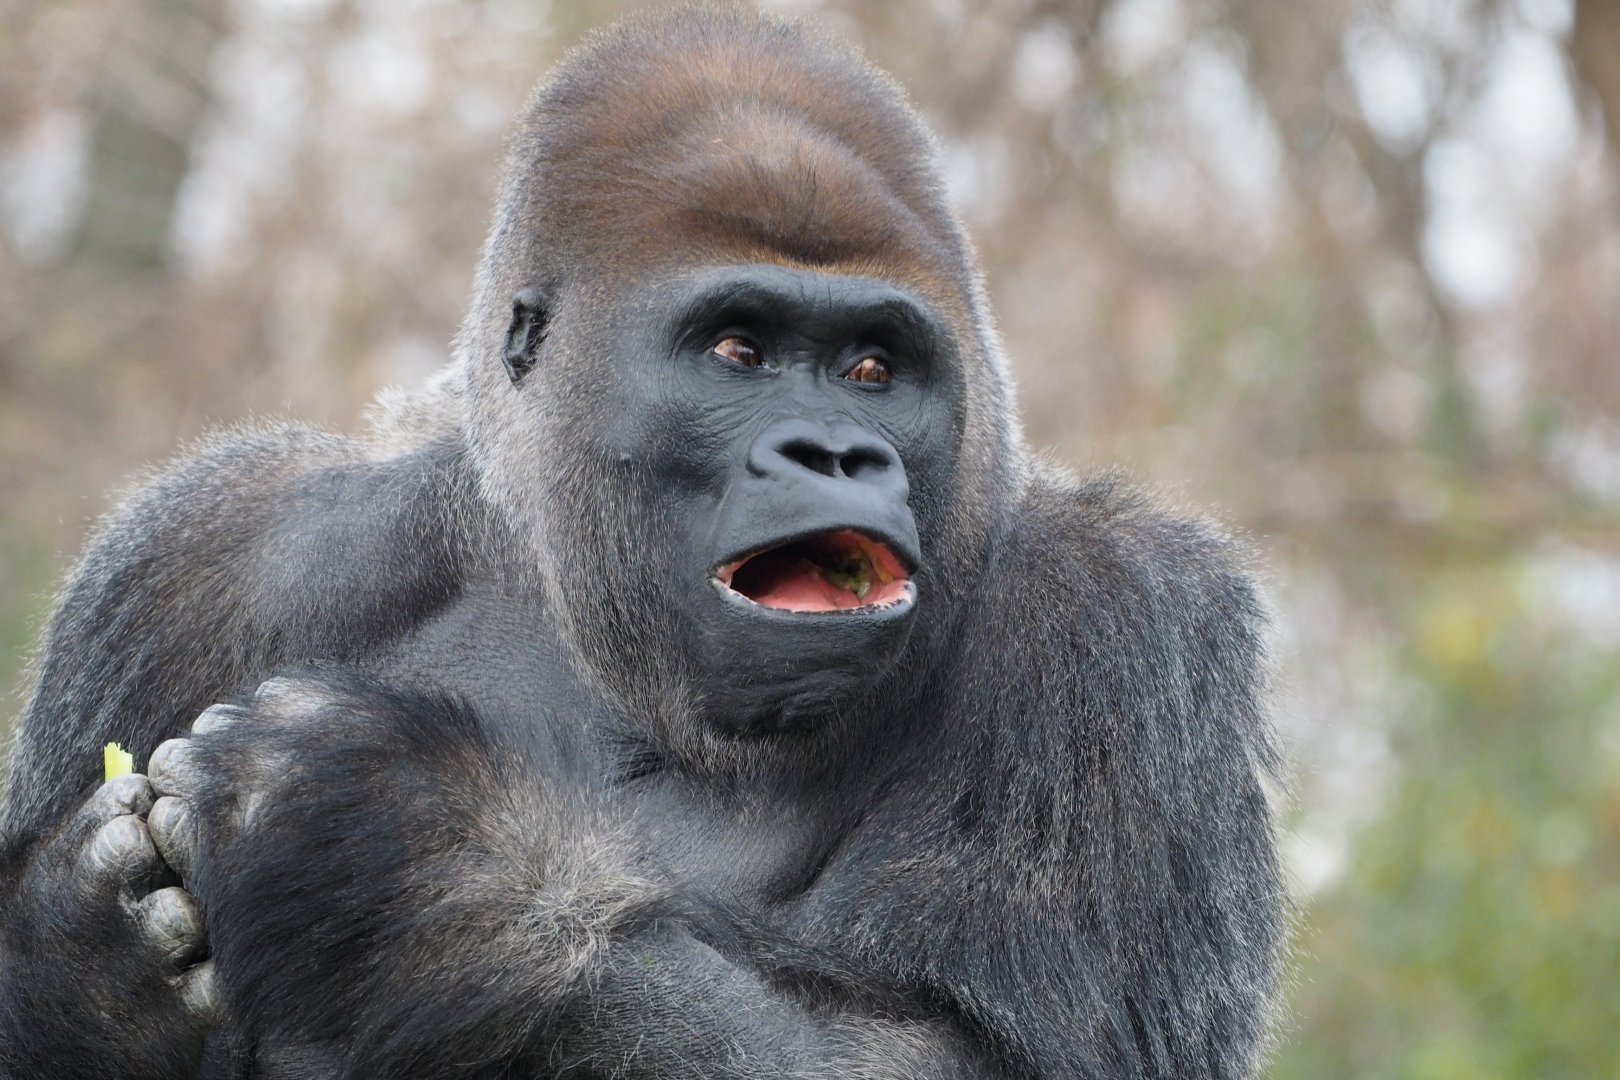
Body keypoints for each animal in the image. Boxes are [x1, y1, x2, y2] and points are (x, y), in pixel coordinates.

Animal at [0, 6, 1284, 1077]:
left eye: (874, 369)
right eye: (737, 350)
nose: (837, 453)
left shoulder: (1116, 618)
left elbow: (967, 1053)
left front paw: (414, 859)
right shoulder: (202, 554)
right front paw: (93, 957)